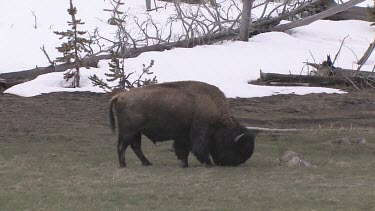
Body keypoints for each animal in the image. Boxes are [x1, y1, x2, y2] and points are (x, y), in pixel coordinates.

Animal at [108, 81, 256, 168]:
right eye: (238, 148)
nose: (234, 164)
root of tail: (120, 95)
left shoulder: (183, 136)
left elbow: (183, 150)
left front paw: (185, 164)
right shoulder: (199, 133)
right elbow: (199, 149)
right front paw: (208, 163)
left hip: (135, 132)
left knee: (135, 147)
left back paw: (147, 163)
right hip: (130, 131)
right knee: (123, 147)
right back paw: (124, 165)